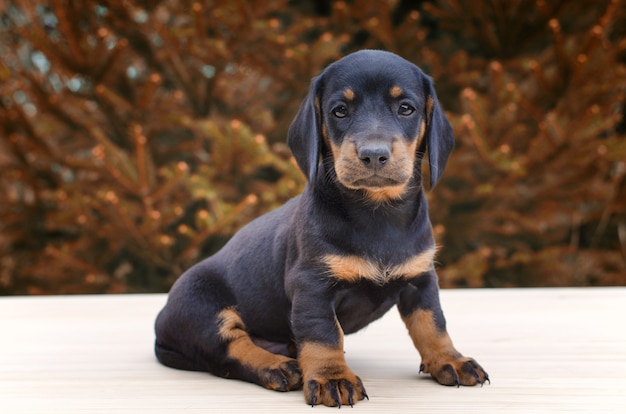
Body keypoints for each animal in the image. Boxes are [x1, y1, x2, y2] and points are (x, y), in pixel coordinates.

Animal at [154, 49, 486, 408]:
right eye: (339, 110)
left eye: (406, 108)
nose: (373, 155)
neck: (377, 213)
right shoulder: (313, 286)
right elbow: (323, 334)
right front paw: (332, 377)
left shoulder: (421, 280)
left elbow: (433, 325)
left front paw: (450, 360)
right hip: (203, 306)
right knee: (231, 349)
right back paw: (277, 367)